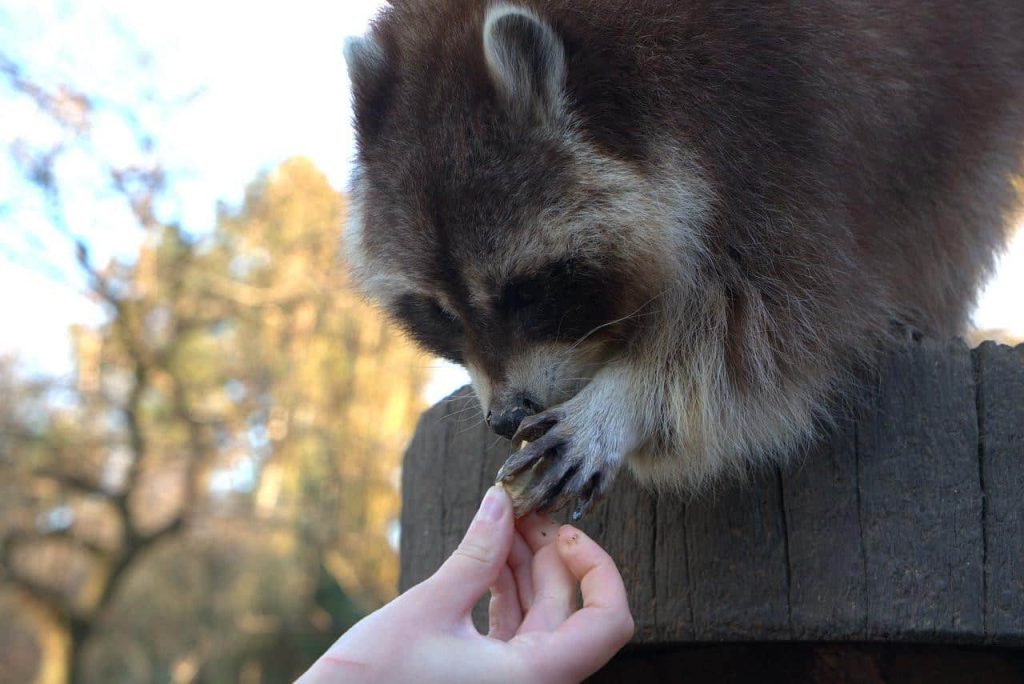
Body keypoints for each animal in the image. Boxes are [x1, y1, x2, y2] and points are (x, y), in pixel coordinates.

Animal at [342, 0, 1024, 511]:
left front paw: (622, 399)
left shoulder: (774, 117)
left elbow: (772, 318)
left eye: (528, 291)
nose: (507, 419)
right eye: (440, 315)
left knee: (956, 194)